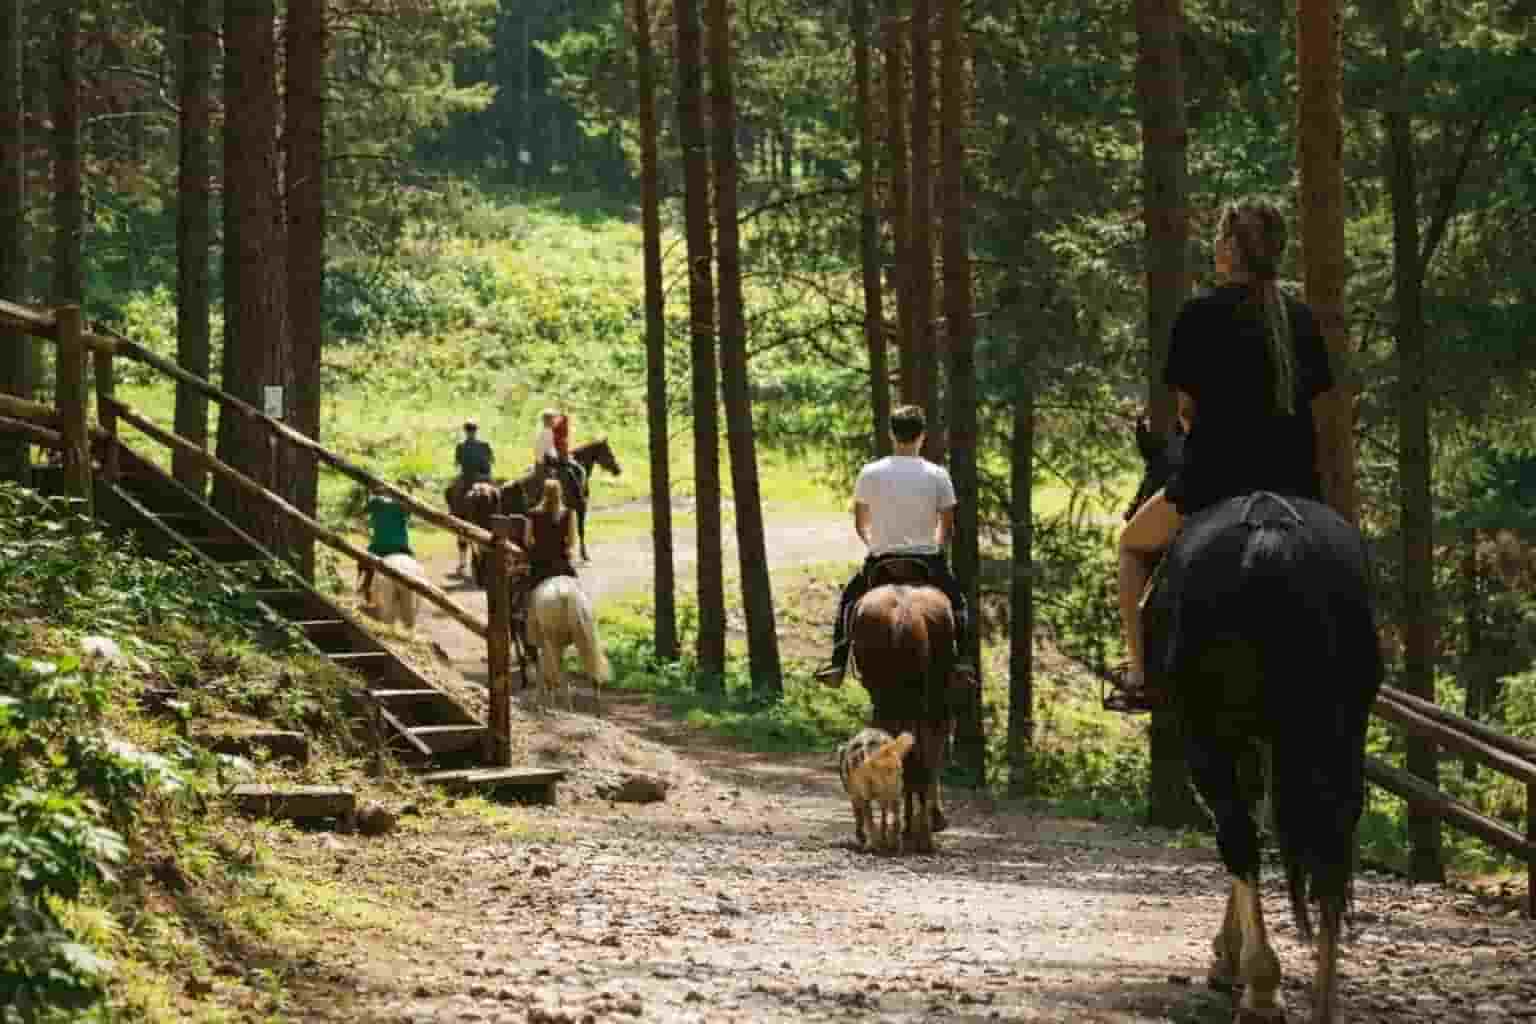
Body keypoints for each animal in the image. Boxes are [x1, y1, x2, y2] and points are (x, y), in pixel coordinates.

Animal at [525, 575, 611, 713]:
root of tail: (566, 594)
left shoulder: (548, 643)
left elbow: (548, 670)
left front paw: (545, 705)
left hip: (553, 639)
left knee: (555, 672)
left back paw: (555, 707)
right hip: (587, 634)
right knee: (593, 670)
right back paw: (595, 709)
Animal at [1129, 428, 1383, 1024]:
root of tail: (1271, 534)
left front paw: (1230, 960)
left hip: (1207, 733)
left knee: (1237, 836)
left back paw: (1263, 988)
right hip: (1339, 734)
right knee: (1333, 839)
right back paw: (1324, 1000)